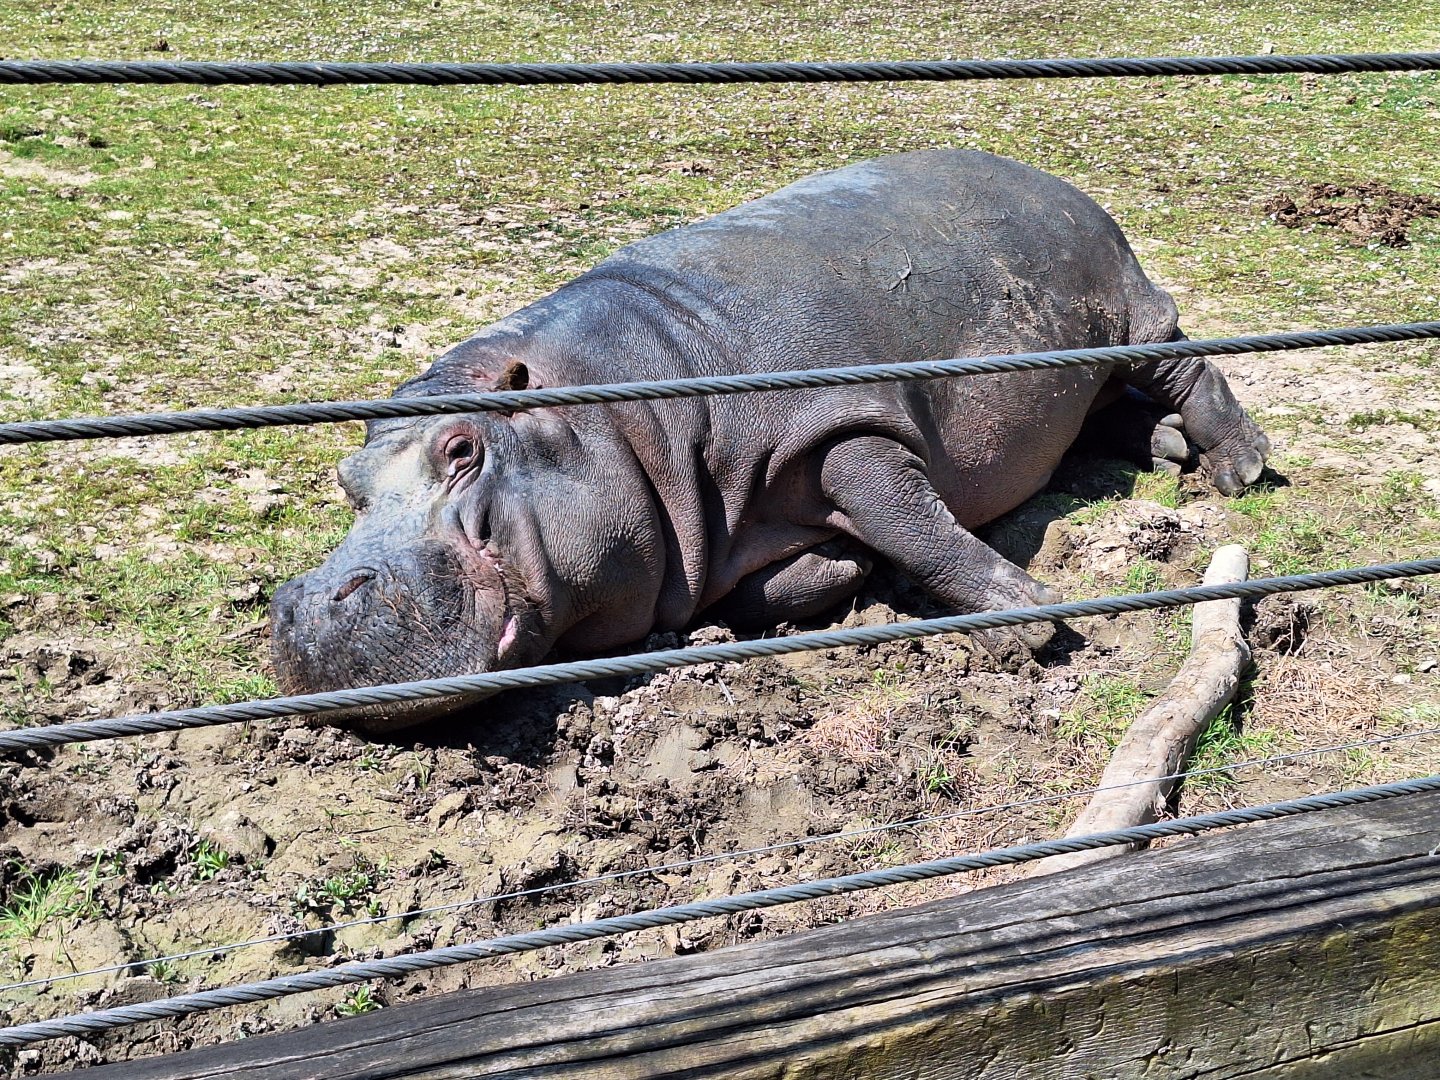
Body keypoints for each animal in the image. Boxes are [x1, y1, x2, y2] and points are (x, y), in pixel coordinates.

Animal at [270, 149, 1269, 728]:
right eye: (348, 477)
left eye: (462, 451)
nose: (307, 605)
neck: (626, 416)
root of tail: (1051, 177)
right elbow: (787, 577)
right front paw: (848, 569)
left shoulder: (839, 421)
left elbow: (911, 516)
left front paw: (1028, 623)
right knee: (1112, 410)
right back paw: (1165, 450)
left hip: (1129, 311)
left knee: (1185, 366)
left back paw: (1236, 467)